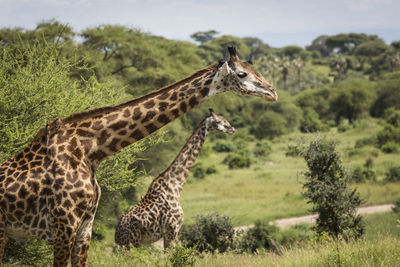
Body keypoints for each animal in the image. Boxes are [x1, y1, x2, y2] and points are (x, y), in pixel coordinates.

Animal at [115, 108, 234, 249]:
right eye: (218, 121)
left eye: (225, 119)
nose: (232, 129)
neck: (176, 185)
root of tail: (116, 234)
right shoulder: (172, 228)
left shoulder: (168, 232)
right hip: (132, 243)